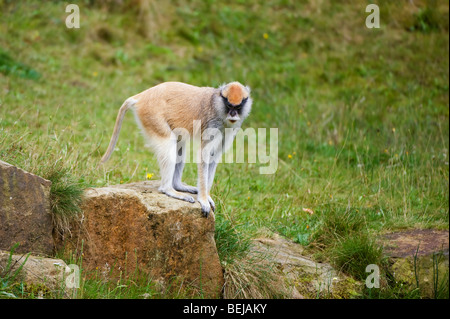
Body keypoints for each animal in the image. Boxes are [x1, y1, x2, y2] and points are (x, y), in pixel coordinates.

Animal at [100, 82, 251, 218]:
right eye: (229, 105)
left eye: (238, 107)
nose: (233, 114)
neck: (217, 104)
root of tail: (143, 95)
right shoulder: (212, 124)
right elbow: (204, 155)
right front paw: (203, 199)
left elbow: (214, 156)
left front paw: (207, 196)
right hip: (153, 117)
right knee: (169, 143)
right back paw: (169, 189)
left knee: (180, 143)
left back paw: (178, 185)